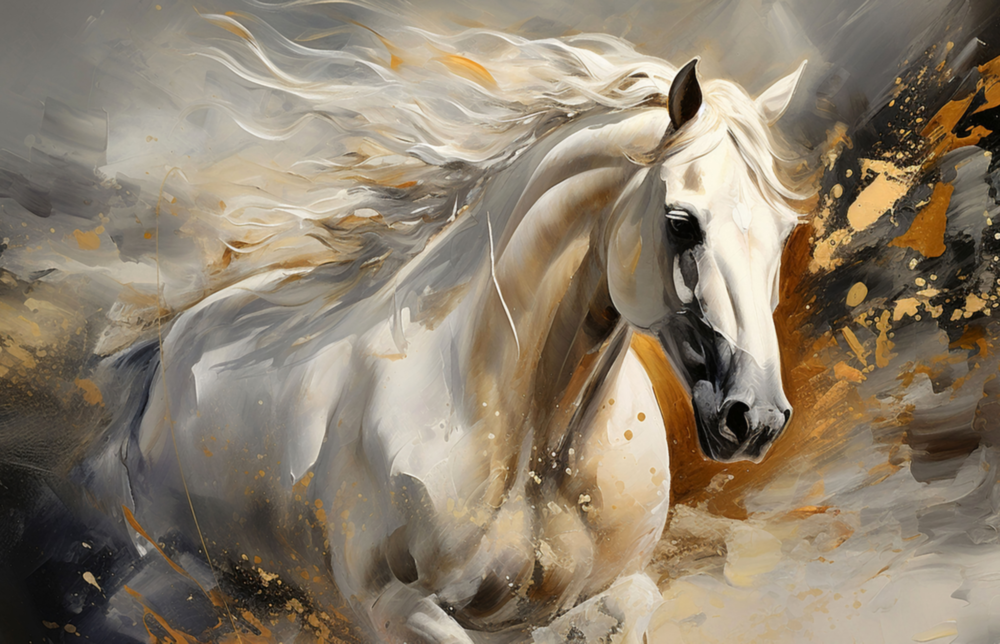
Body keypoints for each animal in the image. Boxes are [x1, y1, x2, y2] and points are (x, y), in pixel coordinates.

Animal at [95, 58, 806, 643]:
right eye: (681, 222)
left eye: (784, 231)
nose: (756, 418)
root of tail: (176, 339)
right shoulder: (392, 606)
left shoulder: (605, 594)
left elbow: (630, 603)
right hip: (187, 572)